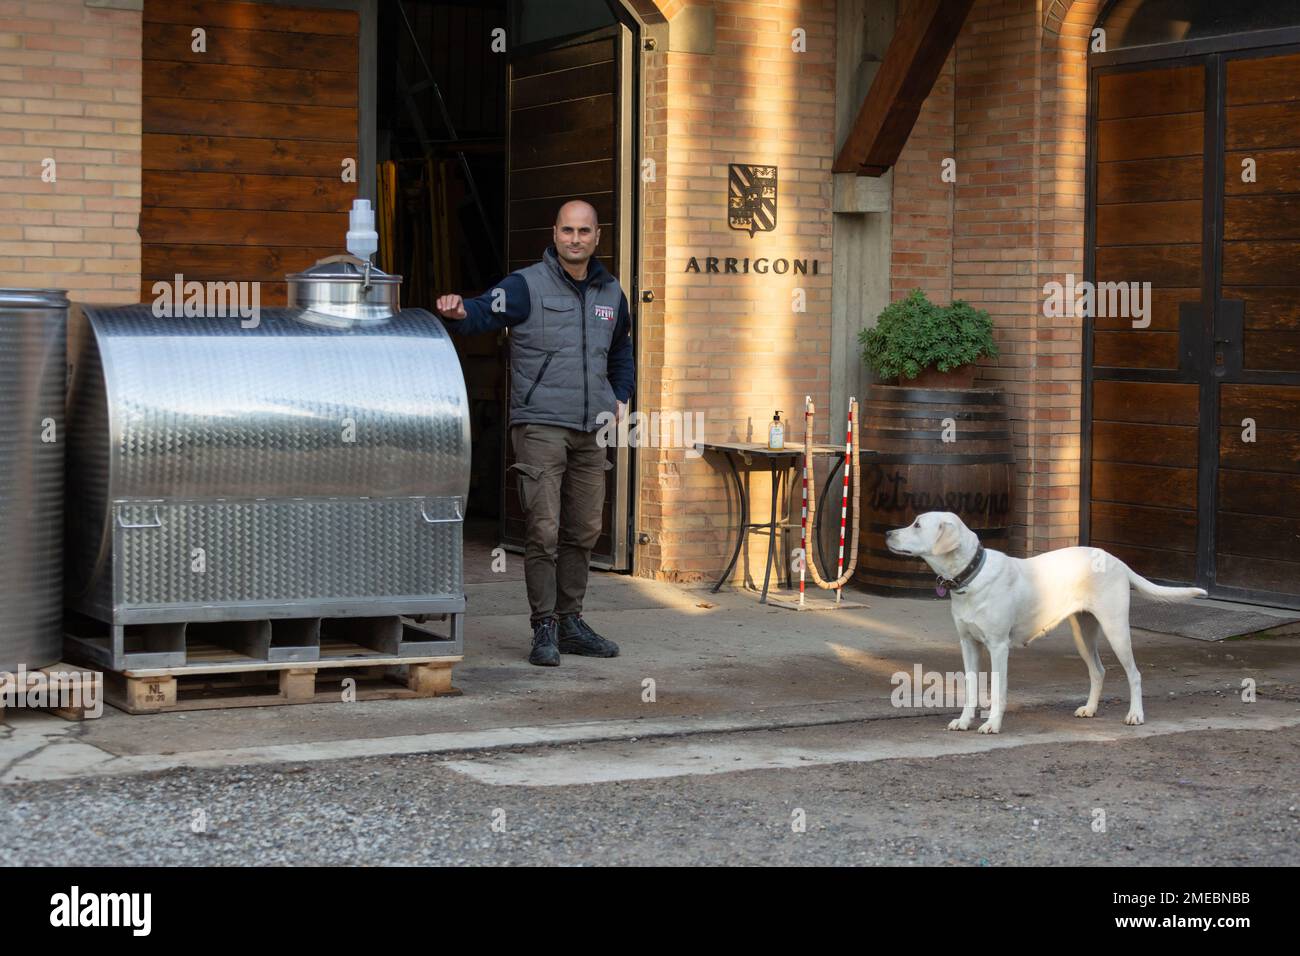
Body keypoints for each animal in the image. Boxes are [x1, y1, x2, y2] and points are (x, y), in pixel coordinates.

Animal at [883, 515, 1206, 733]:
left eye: (917, 525)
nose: (886, 532)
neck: (972, 574)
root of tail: (1116, 560)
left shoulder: (998, 647)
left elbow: (998, 689)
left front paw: (992, 724)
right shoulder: (968, 644)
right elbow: (972, 687)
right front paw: (964, 721)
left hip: (1116, 630)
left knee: (1134, 674)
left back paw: (1136, 715)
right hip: (1083, 634)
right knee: (1098, 671)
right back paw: (1090, 709)